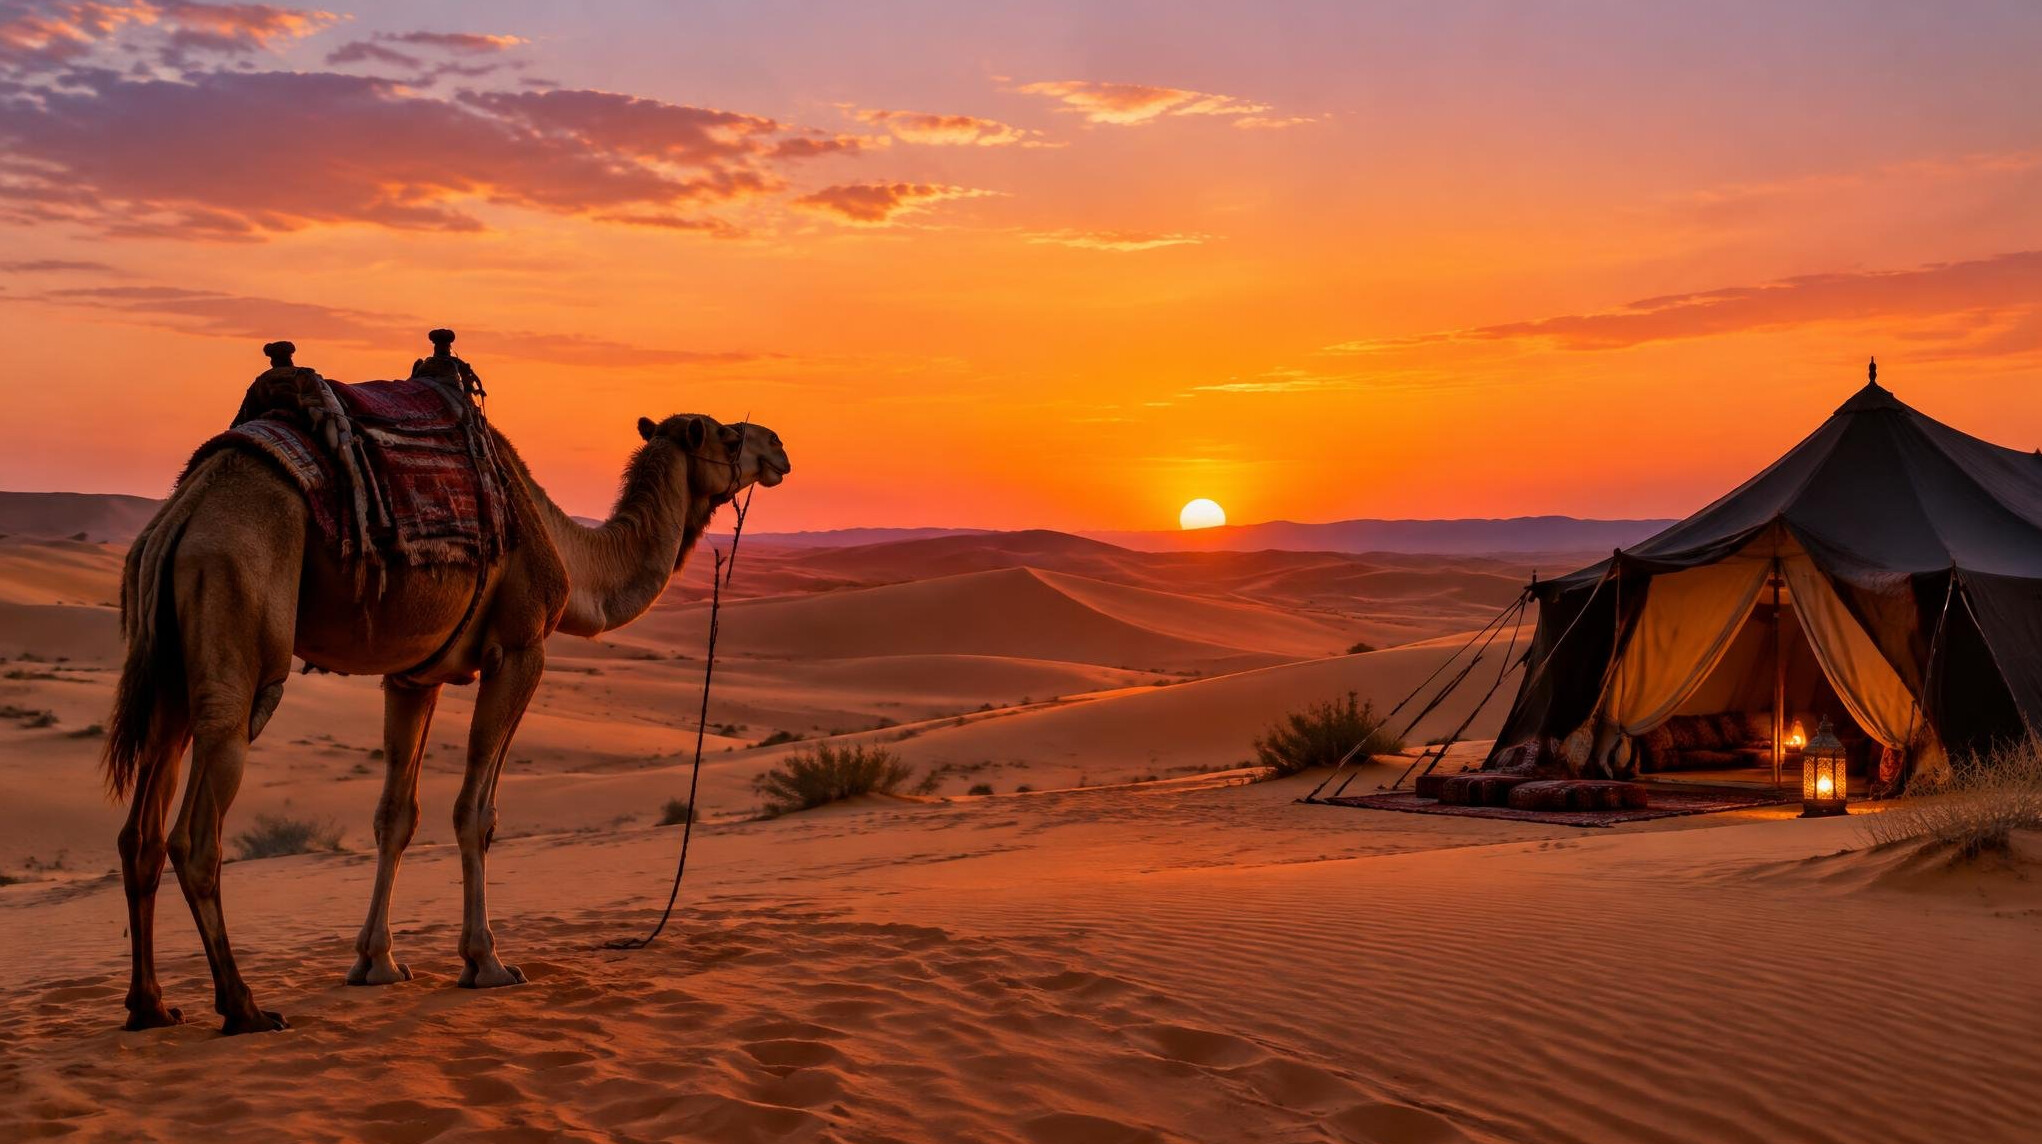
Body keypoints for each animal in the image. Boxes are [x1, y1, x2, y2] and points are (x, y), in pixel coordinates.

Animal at [103, 402, 789, 1034]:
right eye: (729, 435)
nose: (779, 446)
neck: (568, 554)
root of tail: (181, 517)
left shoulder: (413, 676)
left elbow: (395, 817)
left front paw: (375, 962)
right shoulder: (520, 649)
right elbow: (475, 814)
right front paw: (486, 963)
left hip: (168, 676)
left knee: (140, 832)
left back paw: (151, 1006)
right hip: (236, 631)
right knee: (196, 835)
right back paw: (243, 1007)